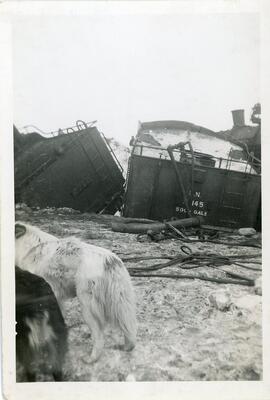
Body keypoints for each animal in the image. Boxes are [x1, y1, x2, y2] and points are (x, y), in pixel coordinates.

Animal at [15, 222, 137, 362]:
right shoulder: (56, 298)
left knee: (99, 337)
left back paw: (91, 359)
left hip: (87, 307)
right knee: (129, 330)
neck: (27, 245)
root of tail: (110, 261)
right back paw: (127, 347)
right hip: (122, 305)